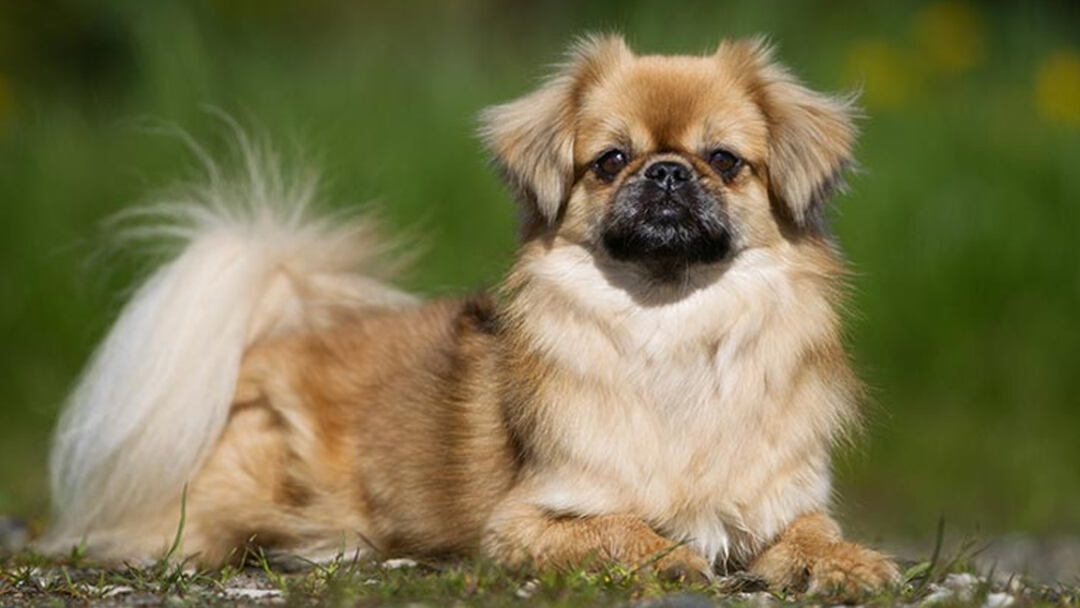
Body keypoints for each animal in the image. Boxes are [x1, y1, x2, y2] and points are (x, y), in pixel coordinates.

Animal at [46, 35, 898, 591]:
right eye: (610, 161)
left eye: (723, 161)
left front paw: (851, 563)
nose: (665, 173)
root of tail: (269, 342)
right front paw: (668, 555)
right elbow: (617, 527)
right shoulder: (525, 521)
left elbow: (815, 533)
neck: (672, 325)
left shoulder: (783, 502)